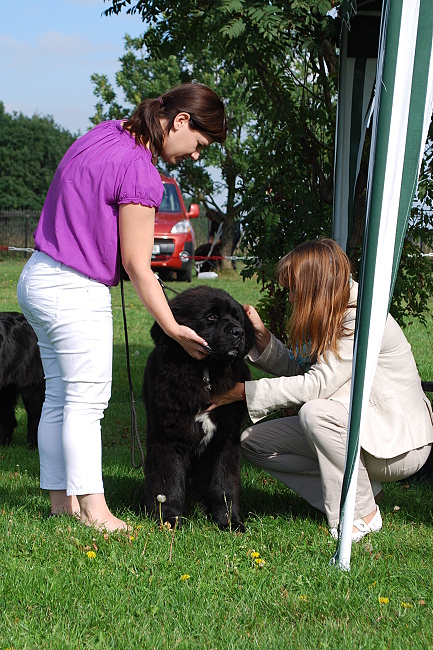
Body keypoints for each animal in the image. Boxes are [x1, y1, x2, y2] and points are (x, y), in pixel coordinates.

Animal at [142, 286, 256, 528]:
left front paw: (230, 522)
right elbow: (168, 482)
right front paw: (169, 519)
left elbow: (224, 484)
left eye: (236, 317)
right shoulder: (168, 437)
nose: (239, 332)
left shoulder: (225, 440)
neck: (206, 371)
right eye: (211, 317)